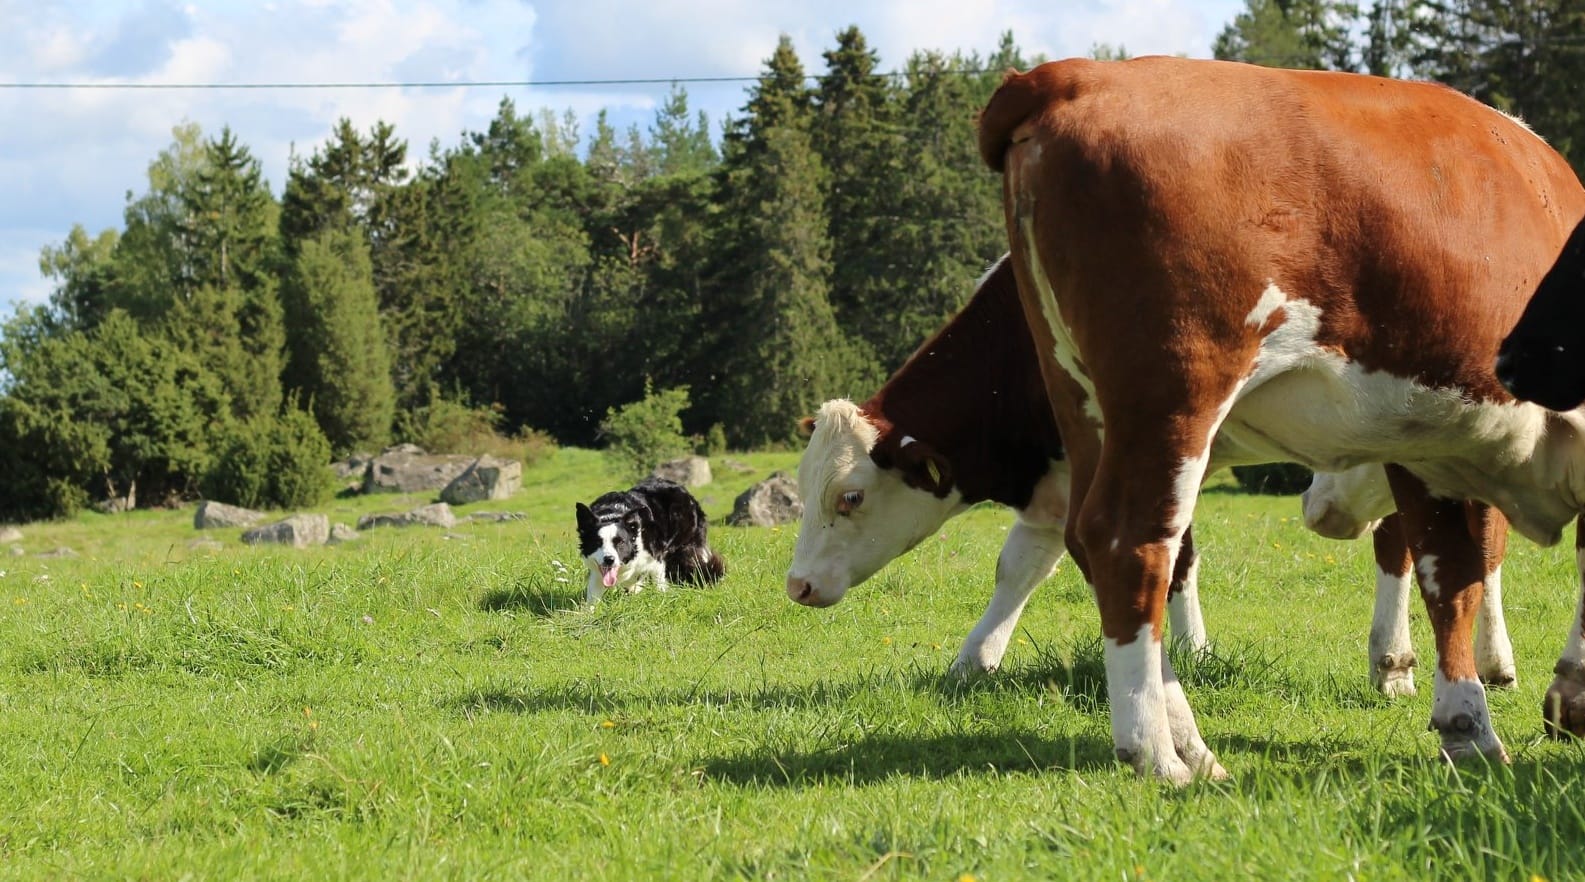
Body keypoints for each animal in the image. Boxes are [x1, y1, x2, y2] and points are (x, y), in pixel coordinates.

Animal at [575, 476, 725, 603]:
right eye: (597, 543)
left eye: (620, 542)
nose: (609, 559)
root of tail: (685, 492)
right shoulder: (597, 571)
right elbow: (593, 598)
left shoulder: (655, 559)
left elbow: (658, 583)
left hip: (687, 546)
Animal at [788, 255, 1516, 696]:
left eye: (849, 497)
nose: (796, 585)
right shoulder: (1059, 478)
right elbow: (1019, 567)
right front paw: (973, 660)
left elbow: (1171, 557)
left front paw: (1184, 655)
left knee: (1434, 538)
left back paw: (1433, 659)